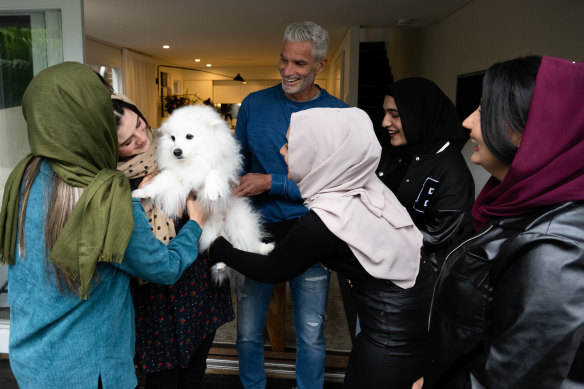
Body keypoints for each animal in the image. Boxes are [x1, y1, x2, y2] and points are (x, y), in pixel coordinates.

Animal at [131, 104, 272, 284]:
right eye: (172, 138)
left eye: (189, 136)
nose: (176, 151)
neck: (194, 160)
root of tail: (223, 227)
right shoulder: (175, 176)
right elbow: (158, 184)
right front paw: (143, 192)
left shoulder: (223, 168)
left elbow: (213, 171)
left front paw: (212, 190)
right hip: (208, 234)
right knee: (228, 248)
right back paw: (221, 265)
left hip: (239, 223)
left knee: (247, 244)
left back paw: (264, 248)